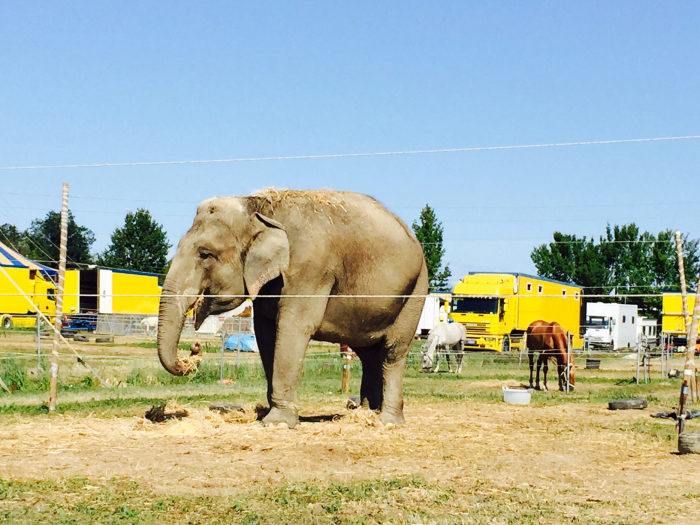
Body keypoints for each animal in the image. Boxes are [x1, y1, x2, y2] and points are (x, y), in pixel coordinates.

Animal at [157, 188, 428, 428]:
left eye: (205, 254)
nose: (194, 348)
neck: (258, 206)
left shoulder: (310, 270)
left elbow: (292, 327)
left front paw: (277, 423)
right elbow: (265, 333)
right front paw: (270, 415)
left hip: (417, 290)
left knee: (393, 351)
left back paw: (387, 421)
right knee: (369, 354)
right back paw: (364, 414)